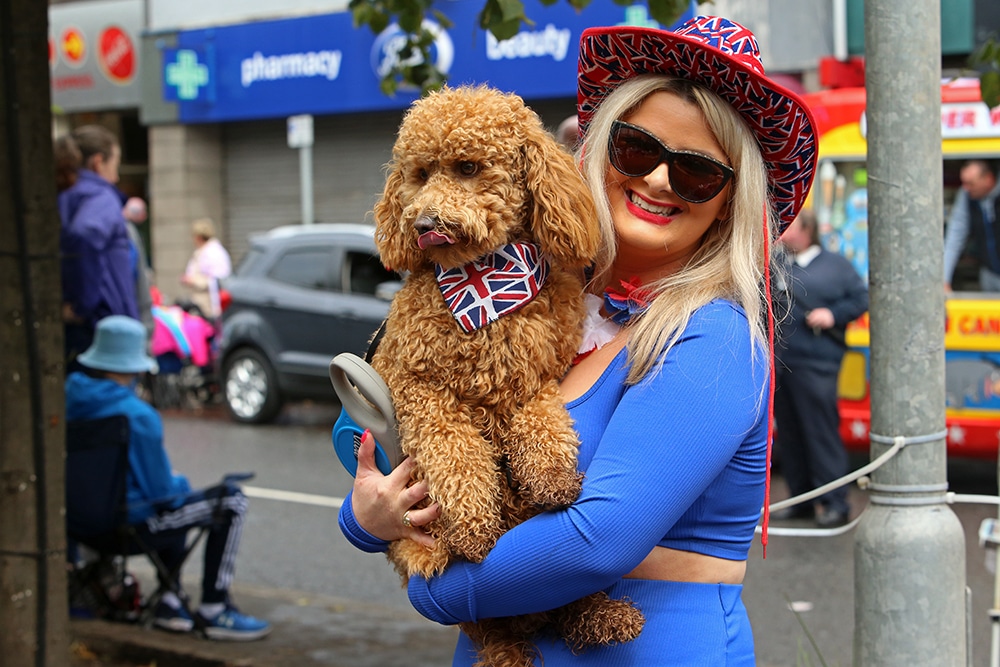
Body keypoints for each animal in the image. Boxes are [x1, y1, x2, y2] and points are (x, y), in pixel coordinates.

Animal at [372, 87, 644, 667]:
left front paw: (552, 476)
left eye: (468, 167)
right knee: (494, 622)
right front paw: (474, 523)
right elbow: (454, 453)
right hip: (427, 556)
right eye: (420, 175)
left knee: (558, 599)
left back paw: (602, 618)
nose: (422, 224)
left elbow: (541, 422)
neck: (486, 285)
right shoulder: (416, 388)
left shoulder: (536, 376)